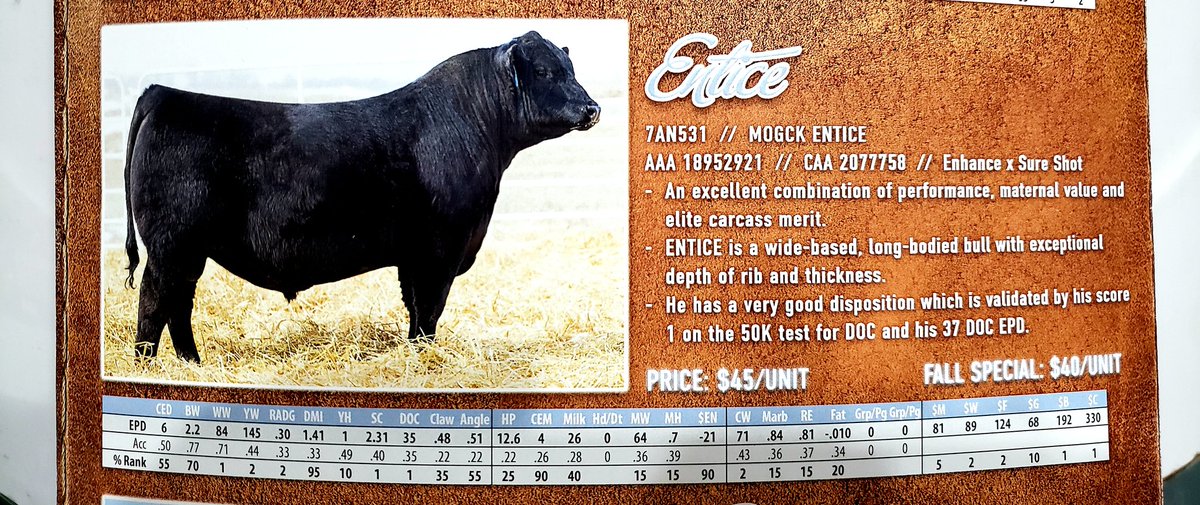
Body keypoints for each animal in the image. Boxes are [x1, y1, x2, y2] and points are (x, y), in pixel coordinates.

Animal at [122, 31, 601, 362]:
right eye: (545, 72)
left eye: (571, 68)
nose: (592, 108)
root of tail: (162, 94)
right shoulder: (439, 251)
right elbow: (428, 311)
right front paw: (423, 360)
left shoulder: (414, 256)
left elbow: (416, 312)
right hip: (172, 246)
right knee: (154, 303)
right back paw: (148, 366)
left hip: (188, 250)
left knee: (178, 305)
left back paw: (193, 363)